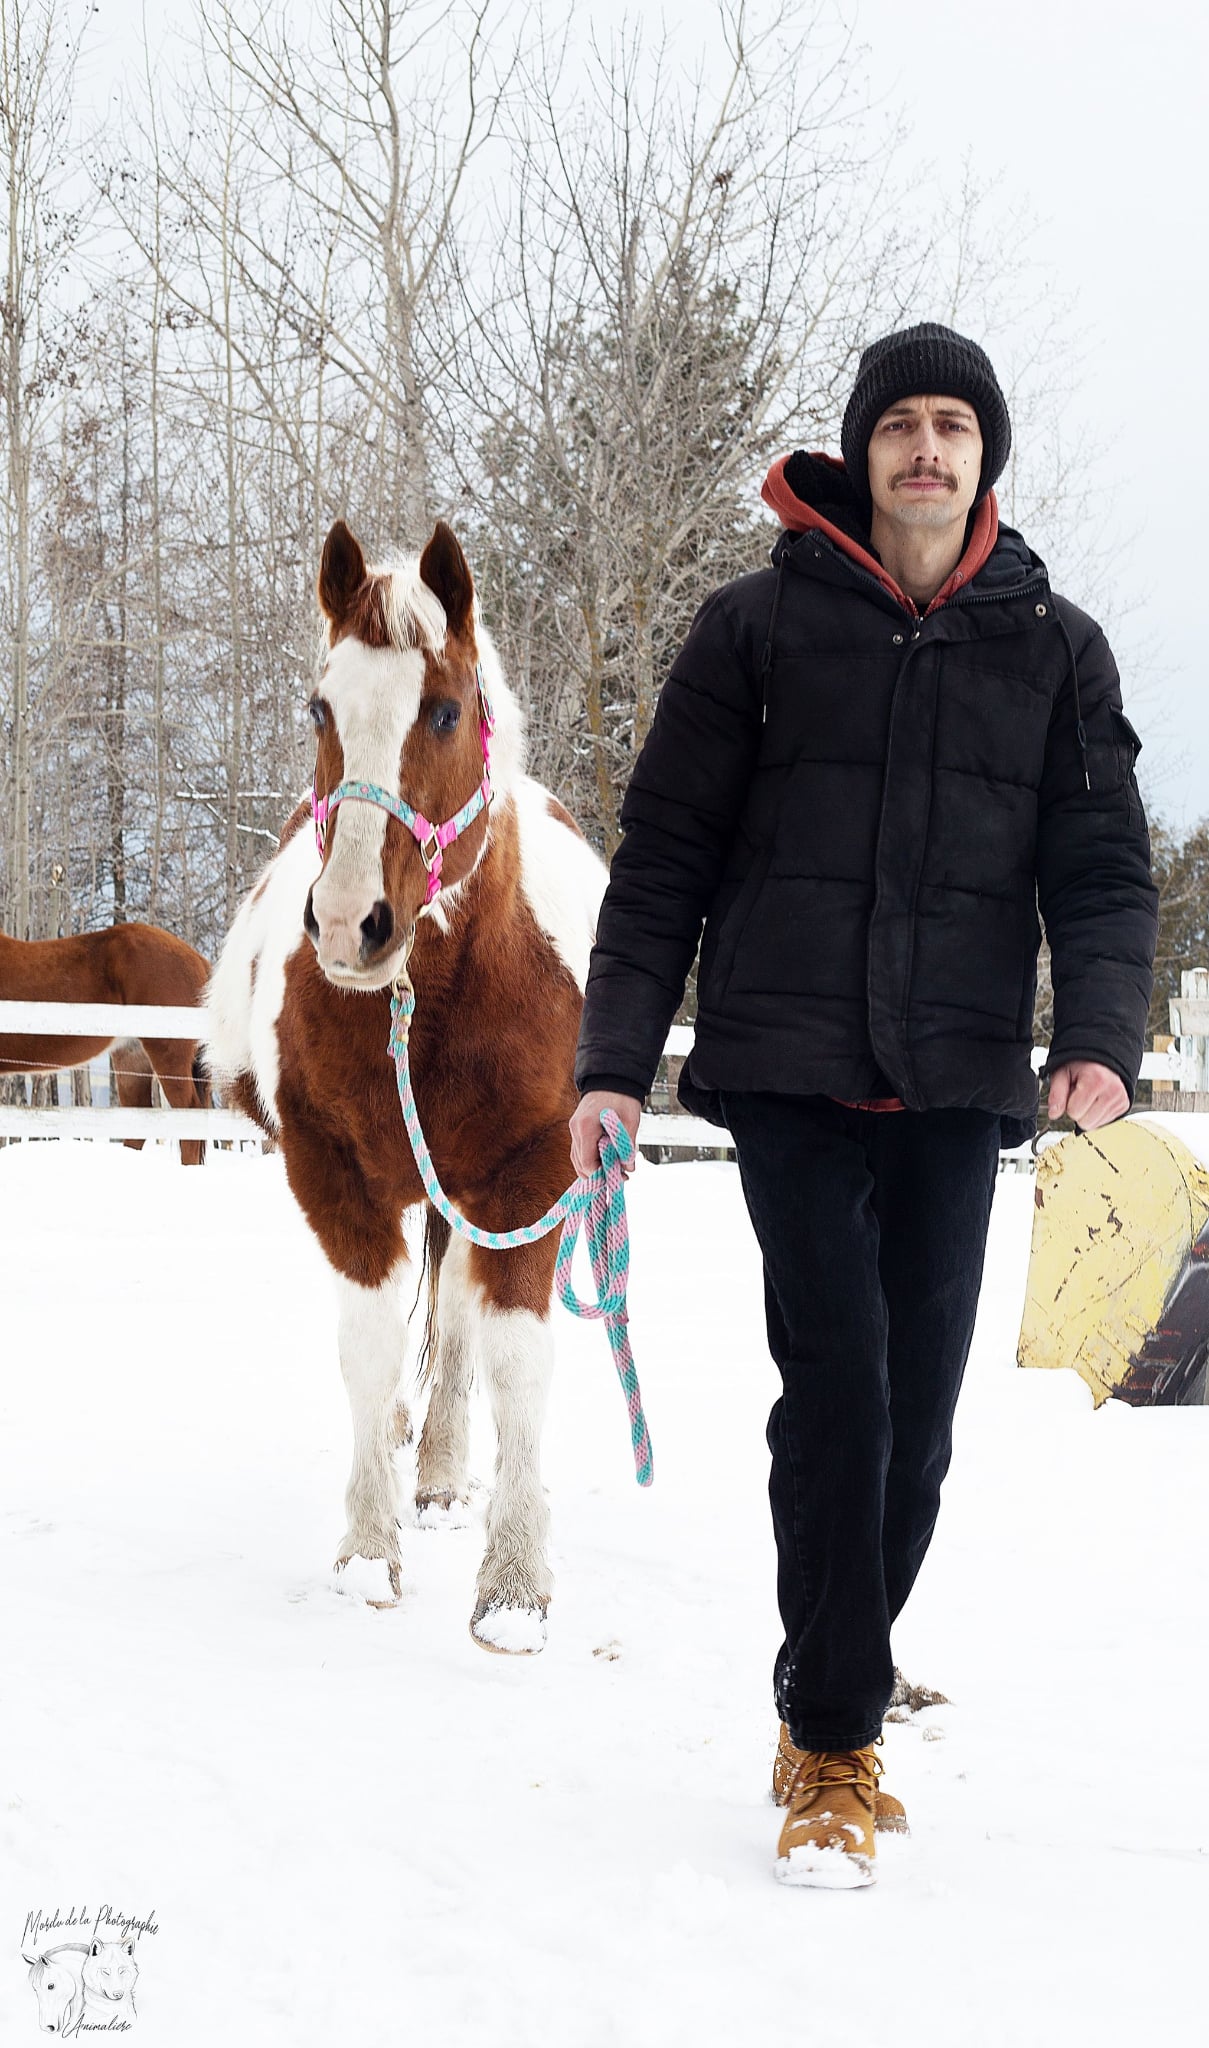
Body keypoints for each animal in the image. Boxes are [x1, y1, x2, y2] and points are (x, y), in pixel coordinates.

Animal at [204, 518, 607, 1652]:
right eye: (320, 706)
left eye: (444, 709)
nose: (350, 924)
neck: (429, 1006)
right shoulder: (333, 1172)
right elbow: (371, 1344)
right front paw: (363, 1548)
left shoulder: (527, 1180)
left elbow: (512, 1358)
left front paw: (513, 1586)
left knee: (463, 1326)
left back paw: (437, 1472)